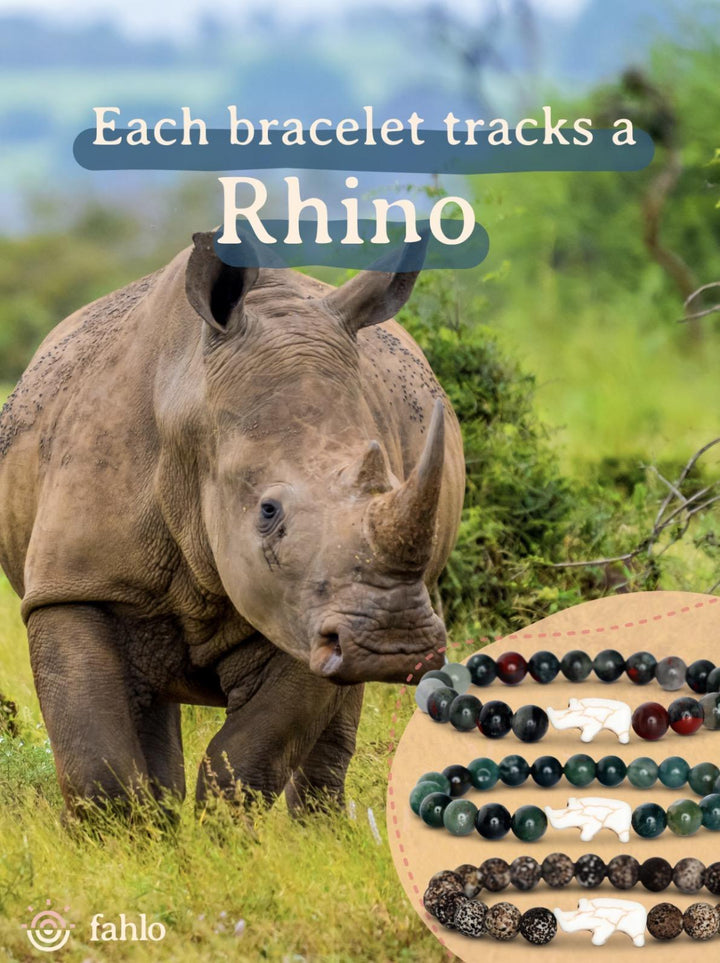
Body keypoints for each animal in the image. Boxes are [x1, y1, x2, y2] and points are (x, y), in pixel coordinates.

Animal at [0, 233, 464, 815]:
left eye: (389, 482)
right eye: (268, 512)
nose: (394, 641)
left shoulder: (305, 610)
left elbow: (247, 757)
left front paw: (221, 832)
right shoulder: (75, 583)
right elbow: (97, 764)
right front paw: (125, 838)